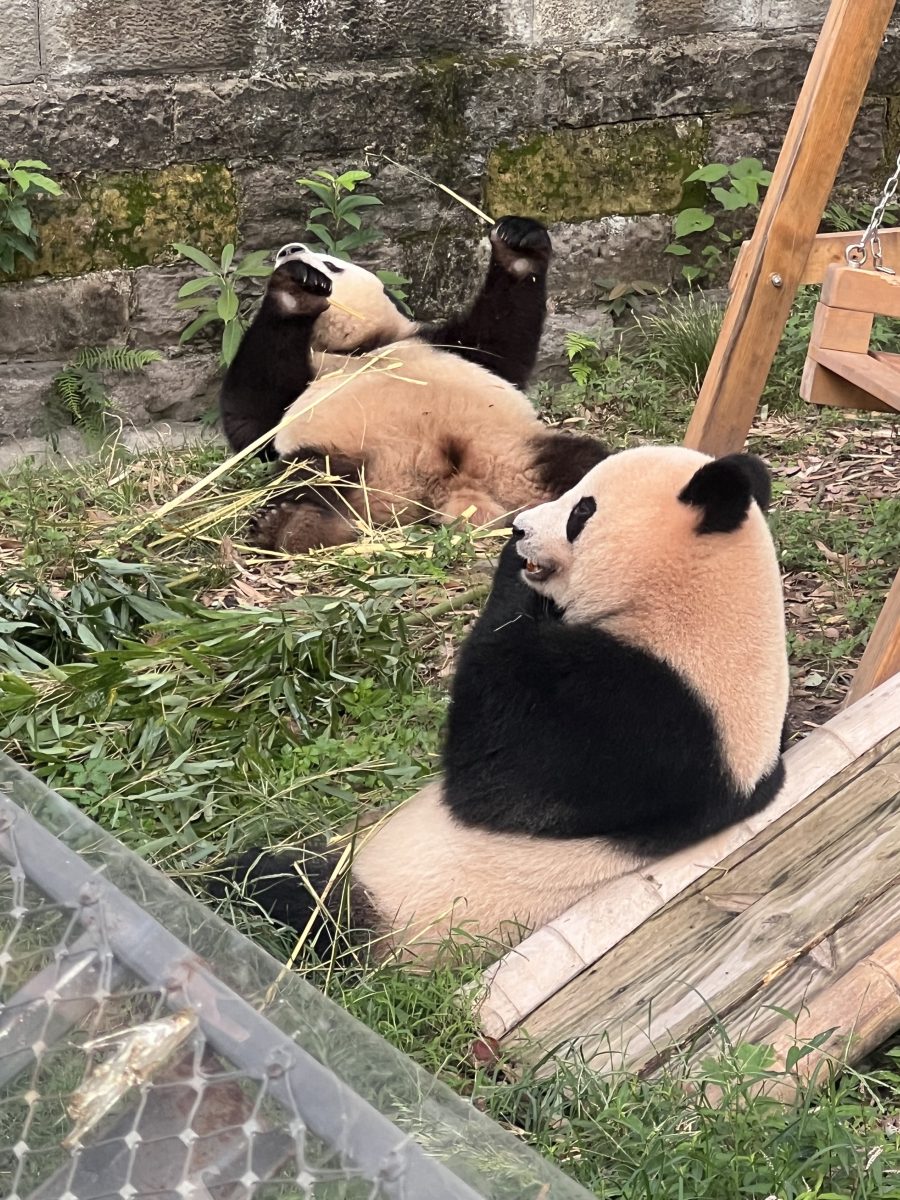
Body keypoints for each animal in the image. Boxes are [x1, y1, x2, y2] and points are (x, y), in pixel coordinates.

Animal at [219, 216, 608, 553]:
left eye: (333, 264)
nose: (289, 249)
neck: (361, 348)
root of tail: (447, 488)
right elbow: (252, 419)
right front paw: (294, 289)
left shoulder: (446, 345)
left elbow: (502, 339)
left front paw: (518, 243)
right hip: (349, 460)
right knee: (310, 476)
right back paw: (292, 525)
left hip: (514, 451)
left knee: (587, 463)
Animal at [226, 445, 789, 964]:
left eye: (581, 510)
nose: (518, 529)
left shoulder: (645, 719)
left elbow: (497, 775)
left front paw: (513, 572)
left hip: (392, 910)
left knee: (283, 892)